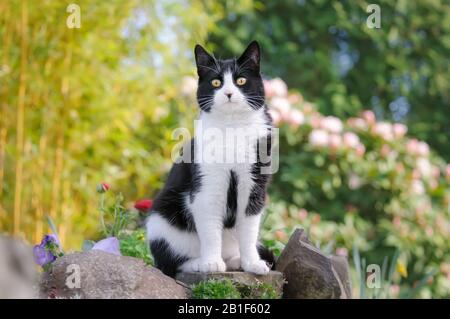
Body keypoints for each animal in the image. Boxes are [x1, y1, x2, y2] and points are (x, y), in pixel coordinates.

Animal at [148, 42, 274, 278]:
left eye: (241, 80)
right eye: (216, 82)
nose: (228, 93)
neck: (232, 127)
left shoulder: (254, 184)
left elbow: (249, 229)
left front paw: (253, 263)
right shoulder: (208, 186)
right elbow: (210, 230)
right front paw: (212, 263)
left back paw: (236, 261)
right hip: (160, 221)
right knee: (169, 263)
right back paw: (198, 263)